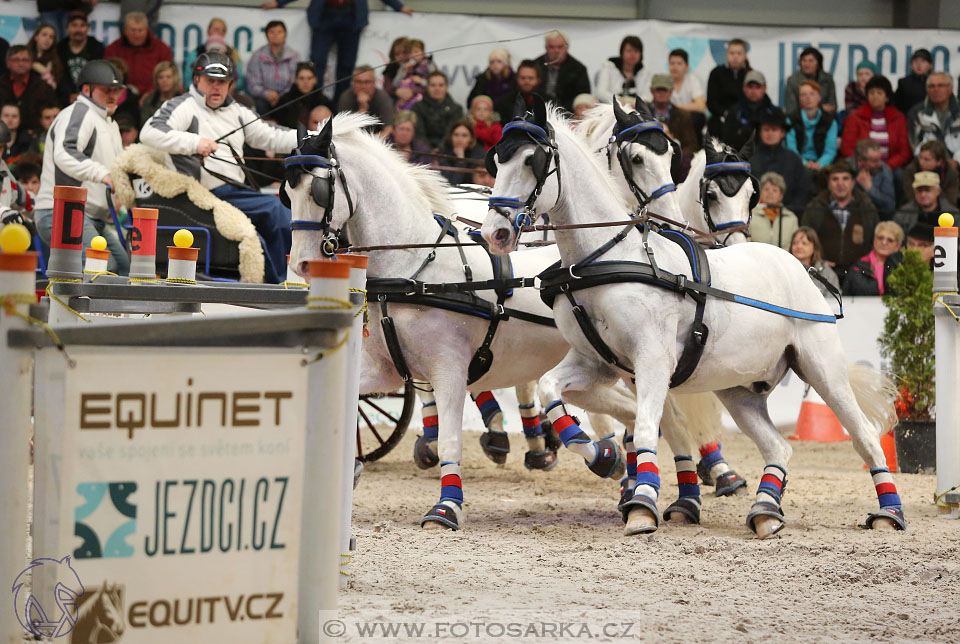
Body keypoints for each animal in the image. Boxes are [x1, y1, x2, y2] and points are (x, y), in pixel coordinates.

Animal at [484, 97, 904, 540]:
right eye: (498, 158)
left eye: (532, 160)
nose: (494, 233)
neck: (603, 257)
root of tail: (797, 264)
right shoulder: (600, 364)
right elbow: (551, 389)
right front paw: (599, 454)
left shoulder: (652, 360)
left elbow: (647, 427)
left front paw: (640, 504)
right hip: (739, 390)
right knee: (778, 445)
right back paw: (765, 510)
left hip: (822, 368)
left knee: (863, 435)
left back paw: (889, 512)